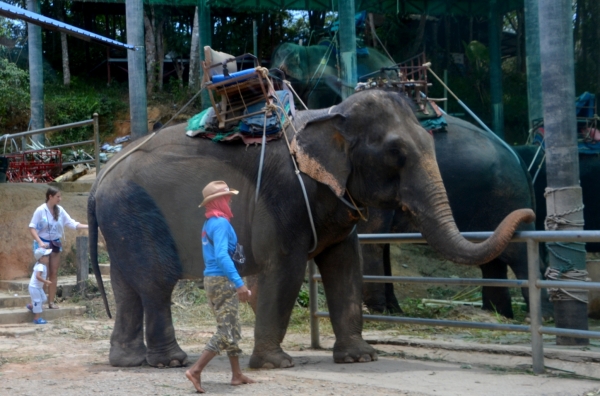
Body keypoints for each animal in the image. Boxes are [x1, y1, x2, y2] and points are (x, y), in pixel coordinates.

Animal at [88, 89, 528, 368]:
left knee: (128, 287)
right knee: (157, 283)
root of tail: (98, 181)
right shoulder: (283, 197)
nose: (526, 213)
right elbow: (285, 268)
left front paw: (361, 357)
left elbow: (344, 265)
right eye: (396, 153)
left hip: (123, 219)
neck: (330, 114)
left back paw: (129, 361)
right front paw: (276, 364)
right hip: (137, 212)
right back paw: (171, 361)